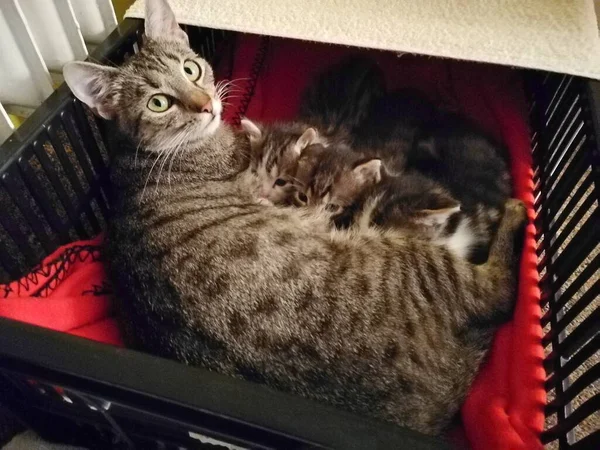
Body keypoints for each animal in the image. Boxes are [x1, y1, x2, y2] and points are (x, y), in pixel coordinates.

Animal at [63, 0, 528, 436]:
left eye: (191, 69)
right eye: (158, 102)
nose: (206, 105)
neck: (140, 154)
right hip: (419, 263)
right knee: (499, 292)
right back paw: (516, 212)